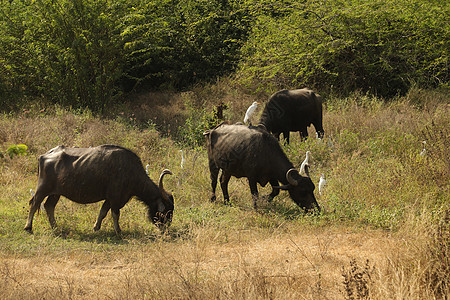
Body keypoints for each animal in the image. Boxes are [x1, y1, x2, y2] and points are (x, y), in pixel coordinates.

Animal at [22, 145, 175, 234]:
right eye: (166, 212)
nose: (165, 229)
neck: (131, 172)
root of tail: (44, 156)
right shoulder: (115, 198)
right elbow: (115, 214)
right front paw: (118, 231)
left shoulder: (109, 199)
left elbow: (103, 212)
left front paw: (96, 227)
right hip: (42, 189)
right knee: (34, 203)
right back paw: (28, 227)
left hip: (56, 193)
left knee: (49, 206)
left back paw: (55, 227)